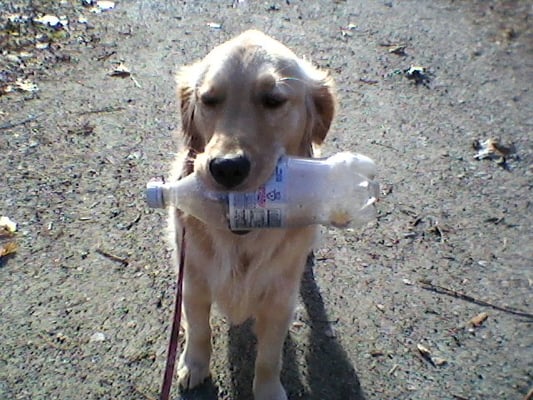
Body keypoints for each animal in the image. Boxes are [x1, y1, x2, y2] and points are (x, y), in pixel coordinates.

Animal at [168, 29, 334, 398]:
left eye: (273, 100)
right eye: (209, 100)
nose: (226, 167)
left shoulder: (279, 301)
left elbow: (269, 357)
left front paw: (268, 390)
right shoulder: (193, 282)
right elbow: (199, 330)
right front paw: (194, 365)